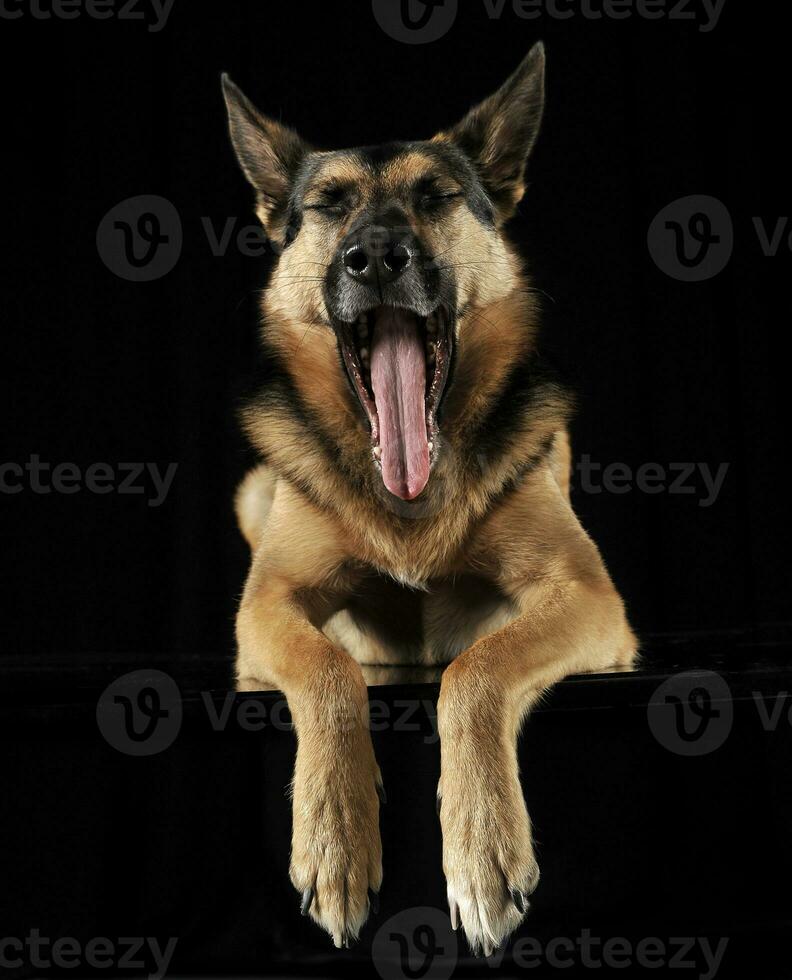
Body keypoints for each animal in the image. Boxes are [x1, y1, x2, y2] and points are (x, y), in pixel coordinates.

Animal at [223, 46, 636, 956]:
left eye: (436, 196)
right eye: (329, 205)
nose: (376, 257)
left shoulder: (587, 597)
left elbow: (475, 670)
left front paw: (482, 847)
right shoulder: (268, 605)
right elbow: (328, 668)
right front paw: (336, 834)